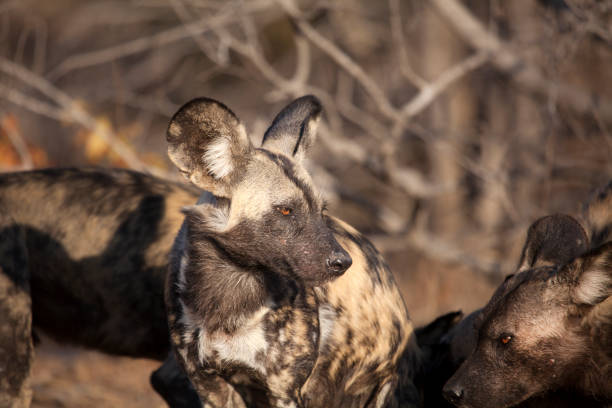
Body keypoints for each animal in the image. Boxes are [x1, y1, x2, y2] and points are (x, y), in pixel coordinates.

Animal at [165, 94, 424, 406]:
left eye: (321, 211)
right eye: (286, 210)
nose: (342, 262)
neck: (230, 291)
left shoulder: (285, 390)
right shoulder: (209, 388)